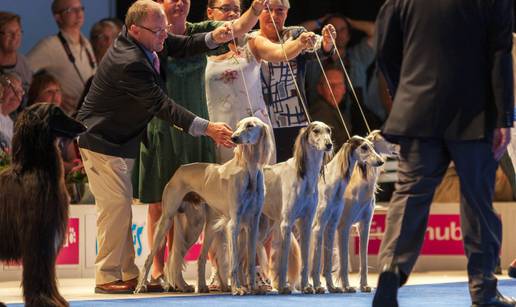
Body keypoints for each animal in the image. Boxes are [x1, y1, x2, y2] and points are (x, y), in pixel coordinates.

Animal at [0, 104, 85, 307]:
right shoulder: (37, 234)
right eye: (56, 113)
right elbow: (38, 269)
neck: (35, 170)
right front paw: (44, 300)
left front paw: (56, 299)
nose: (84, 126)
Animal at [136, 118, 274, 296]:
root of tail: (180, 169)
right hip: (169, 219)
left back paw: (191, 285)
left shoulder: (252, 224)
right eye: (237, 126)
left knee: (186, 257)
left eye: (250, 126)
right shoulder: (234, 224)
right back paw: (141, 286)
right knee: (153, 256)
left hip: (200, 226)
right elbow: (235, 262)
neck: (249, 171)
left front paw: (253, 287)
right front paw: (237, 288)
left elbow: (249, 261)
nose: (234, 138)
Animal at [262, 121, 334, 294]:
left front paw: (307, 286)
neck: (305, 175)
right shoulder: (286, 224)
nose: (329, 144)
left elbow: (306, 258)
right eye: (316, 131)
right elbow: (283, 261)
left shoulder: (306, 223)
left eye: (328, 131)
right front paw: (283, 286)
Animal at [338, 130, 400, 294]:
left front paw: (364, 285)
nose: (380, 162)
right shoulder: (343, 227)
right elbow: (343, 260)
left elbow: (364, 258)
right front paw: (346, 286)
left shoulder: (365, 224)